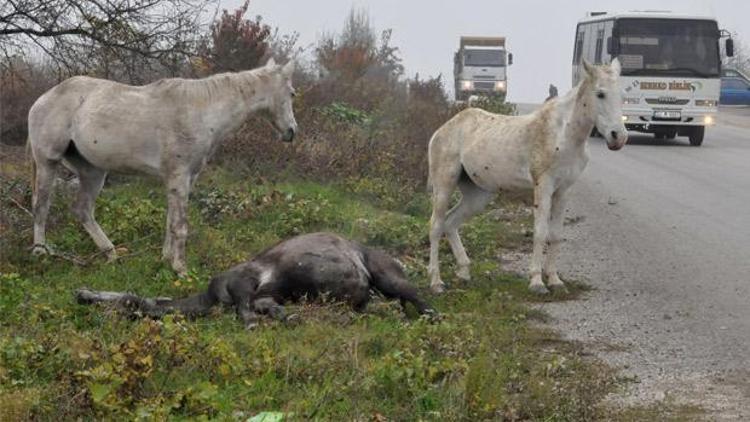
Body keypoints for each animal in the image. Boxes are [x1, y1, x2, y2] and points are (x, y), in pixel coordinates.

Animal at [29, 59, 300, 276]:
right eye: (292, 93)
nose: (291, 132)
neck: (201, 112)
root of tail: (42, 99)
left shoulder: (182, 179)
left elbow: (170, 222)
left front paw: (166, 260)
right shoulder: (179, 177)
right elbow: (180, 226)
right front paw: (181, 270)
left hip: (93, 172)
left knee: (83, 210)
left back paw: (111, 254)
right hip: (48, 163)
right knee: (41, 206)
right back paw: (40, 253)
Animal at [76, 232, 434, 328]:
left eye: (125, 304)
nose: (80, 294)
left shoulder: (244, 282)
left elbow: (245, 310)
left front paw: (256, 322)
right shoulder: (266, 293)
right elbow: (264, 306)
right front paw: (283, 317)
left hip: (388, 276)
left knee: (419, 299)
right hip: (372, 294)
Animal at [428, 60, 628, 294]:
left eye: (623, 95)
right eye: (600, 94)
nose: (618, 137)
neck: (564, 135)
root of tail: (442, 130)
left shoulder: (564, 191)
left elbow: (556, 235)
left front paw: (555, 281)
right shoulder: (543, 186)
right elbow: (540, 232)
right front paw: (536, 282)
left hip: (477, 195)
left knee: (451, 223)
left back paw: (464, 272)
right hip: (444, 183)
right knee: (436, 225)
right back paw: (436, 282)